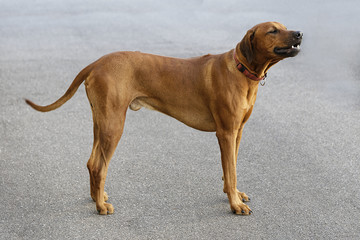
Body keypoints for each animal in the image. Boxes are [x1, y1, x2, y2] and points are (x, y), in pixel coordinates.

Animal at [25, 21, 300, 216]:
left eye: (285, 26)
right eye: (273, 30)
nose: (299, 33)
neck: (242, 71)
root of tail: (97, 63)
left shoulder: (238, 131)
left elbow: (231, 167)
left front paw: (234, 195)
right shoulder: (226, 132)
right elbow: (230, 170)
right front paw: (234, 204)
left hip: (100, 121)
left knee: (92, 162)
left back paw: (98, 198)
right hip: (114, 124)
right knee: (100, 166)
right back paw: (101, 207)